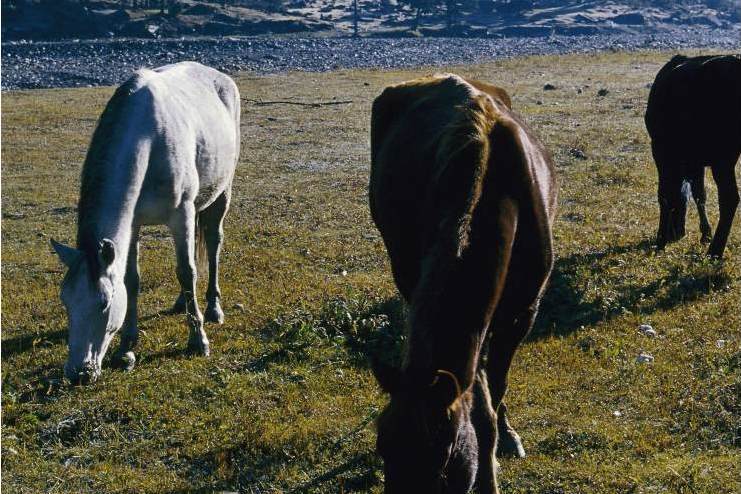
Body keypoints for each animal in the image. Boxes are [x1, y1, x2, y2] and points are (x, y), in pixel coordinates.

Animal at [51, 61, 240, 384]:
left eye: (103, 302)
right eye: (65, 301)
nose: (78, 373)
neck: (149, 141)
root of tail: (221, 76)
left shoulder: (182, 215)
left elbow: (187, 271)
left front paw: (198, 340)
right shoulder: (133, 223)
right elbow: (132, 279)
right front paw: (126, 347)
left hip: (221, 192)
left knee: (213, 244)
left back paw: (214, 308)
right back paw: (181, 303)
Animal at [370, 74, 556, 494]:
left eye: (442, 458)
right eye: (382, 447)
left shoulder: (523, 312)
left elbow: (493, 389)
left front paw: (503, 440)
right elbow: (480, 392)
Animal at [640, 54, 740, 258]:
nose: (677, 233)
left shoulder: (661, 151)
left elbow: (665, 195)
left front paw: (660, 240)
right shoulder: (695, 160)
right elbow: (699, 193)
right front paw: (705, 233)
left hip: (723, 158)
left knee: (730, 198)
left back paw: (715, 251)